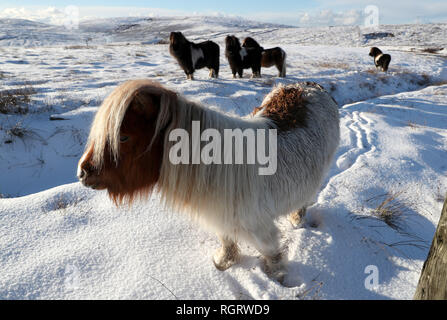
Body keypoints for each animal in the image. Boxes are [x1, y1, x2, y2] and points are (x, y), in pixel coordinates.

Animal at [79, 79, 342, 284]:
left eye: (123, 137)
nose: (82, 173)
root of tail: (312, 86)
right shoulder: (221, 216)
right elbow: (226, 241)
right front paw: (224, 263)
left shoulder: (260, 227)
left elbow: (272, 253)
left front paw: (277, 277)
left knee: (306, 198)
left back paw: (297, 219)